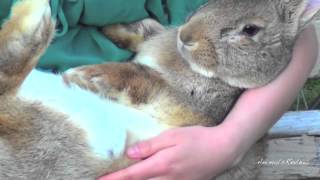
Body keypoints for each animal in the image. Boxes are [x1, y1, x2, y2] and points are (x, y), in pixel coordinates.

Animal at [1, 0, 318, 179]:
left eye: (250, 30)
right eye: (212, 2)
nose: (186, 36)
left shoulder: (195, 107)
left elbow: (146, 79)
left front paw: (91, 75)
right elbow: (143, 30)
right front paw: (111, 29)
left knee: (9, 84)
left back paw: (36, 11)